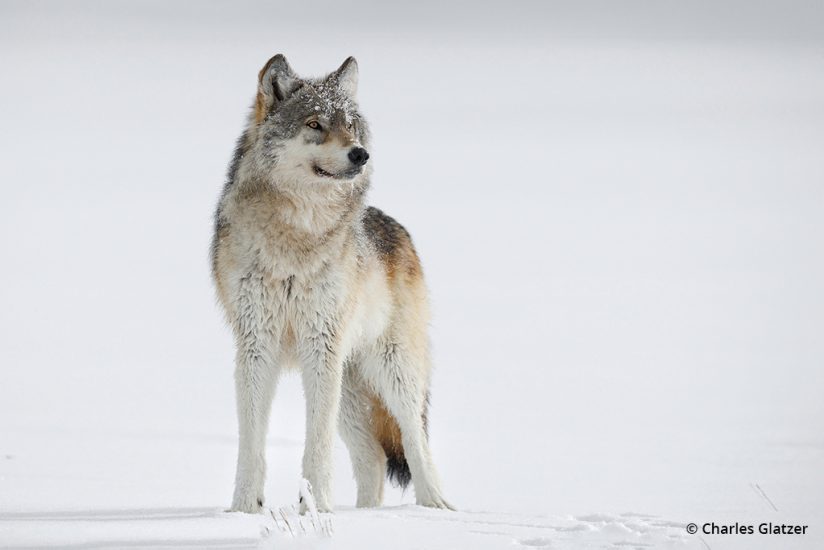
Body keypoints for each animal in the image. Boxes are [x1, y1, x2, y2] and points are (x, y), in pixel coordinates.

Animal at [209, 54, 454, 516]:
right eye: (315, 123)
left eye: (351, 126)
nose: (360, 154)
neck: (295, 235)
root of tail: (396, 228)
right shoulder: (256, 344)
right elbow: (251, 441)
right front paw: (244, 509)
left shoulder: (320, 345)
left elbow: (317, 443)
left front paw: (317, 507)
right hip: (350, 389)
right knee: (373, 458)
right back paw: (367, 514)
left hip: (391, 370)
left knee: (416, 441)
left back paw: (435, 507)